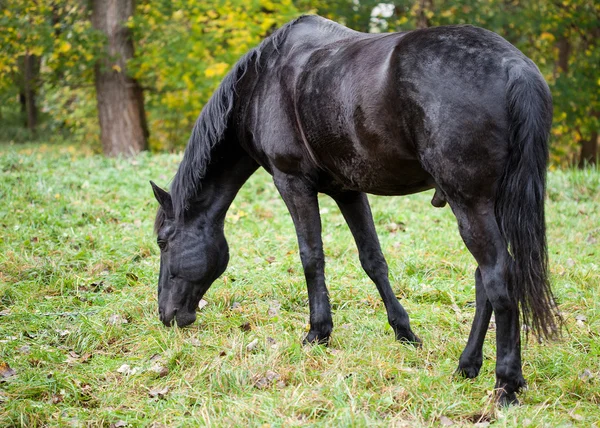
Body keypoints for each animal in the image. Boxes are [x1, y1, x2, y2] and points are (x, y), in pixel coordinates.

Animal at [149, 15, 556, 404]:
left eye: (163, 242)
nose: (166, 316)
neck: (262, 81)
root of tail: (514, 66)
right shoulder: (348, 192)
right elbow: (372, 260)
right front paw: (404, 331)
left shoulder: (292, 182)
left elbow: (311, 257)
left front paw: (318, 332)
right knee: (483, 278)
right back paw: (467, 365)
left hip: (470, 204)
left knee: (498, 277)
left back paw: (506, 384)